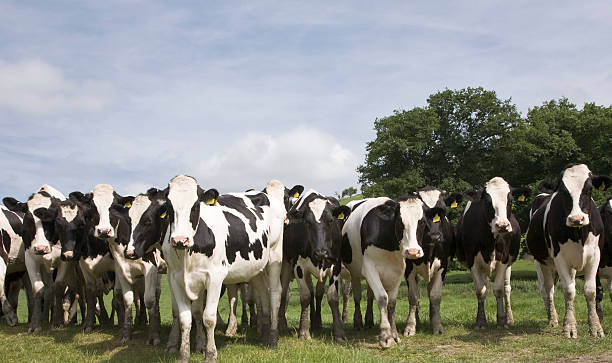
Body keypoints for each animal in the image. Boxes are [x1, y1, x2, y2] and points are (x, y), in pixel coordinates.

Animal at [278, 191, 350, 344]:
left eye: (330, 220)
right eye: (307, 222)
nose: (321, 252)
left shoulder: (335, 265)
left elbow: (332, 297)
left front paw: (339, 333)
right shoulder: (298, 266)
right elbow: (305, 296)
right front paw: (304, 331)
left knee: (317, 292)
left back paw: (317, 322)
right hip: (287, 264)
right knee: (285, 293)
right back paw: (282, 324)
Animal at [344, 198, 426, 348]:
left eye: (422, 221)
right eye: (399, 221)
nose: (412, 252)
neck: (390, 247)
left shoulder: (398, 272)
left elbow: (392, 303)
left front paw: (394, 335)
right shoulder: (369, 269)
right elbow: (382, 298)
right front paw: (385, 336)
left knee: (369, 296)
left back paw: (369, 321)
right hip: (354, 273)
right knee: (357, 297)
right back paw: (358, 322)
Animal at [454, 178, 532, 332]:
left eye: (510, 200)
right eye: (487, 201)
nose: (502, 226)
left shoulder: (504, 259)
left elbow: (499, 290)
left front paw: (502, 320)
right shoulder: (472, 261)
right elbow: (480, 291)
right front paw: (480, 321)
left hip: (509, 264)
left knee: (507, 288)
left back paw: (510, 318)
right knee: (484, 286)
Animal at [524, 165, 608, 338]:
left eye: (589, 189)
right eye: (562, 192)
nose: (576, 219)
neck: (579, 234)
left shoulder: (595, 257)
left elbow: (590, 291)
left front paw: (596, 327)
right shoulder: (560, 258)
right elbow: (568, 291)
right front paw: (569, 326)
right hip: (541, 262)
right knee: (548, 289)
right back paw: (552, 318)